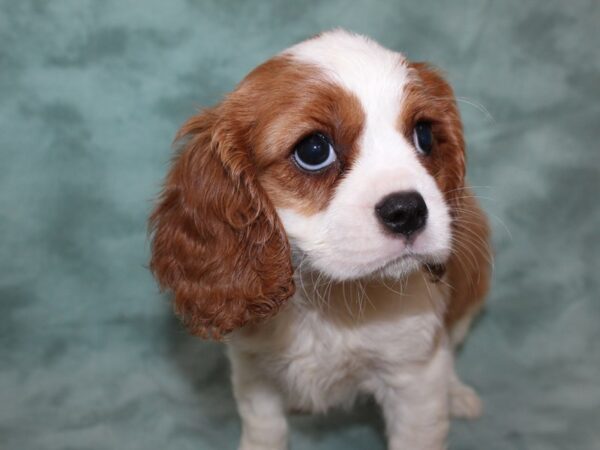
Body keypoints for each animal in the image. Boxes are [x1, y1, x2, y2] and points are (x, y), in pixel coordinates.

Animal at [148, 29, 490, 450]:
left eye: (424, 135)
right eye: (314, 150)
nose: (408, 210)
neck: (327, 300)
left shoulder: (414, 378)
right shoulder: (253, 370)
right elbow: (265, 429)